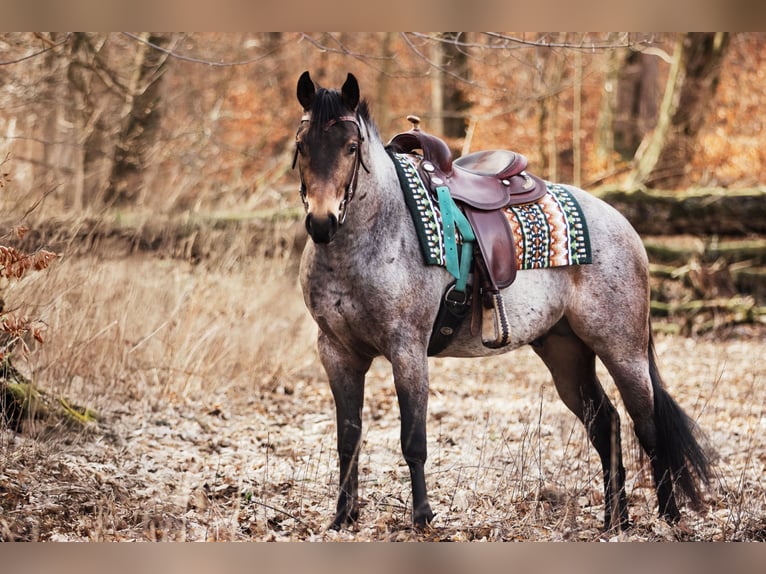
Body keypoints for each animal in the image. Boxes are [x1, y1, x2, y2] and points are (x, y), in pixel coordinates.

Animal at [292, 70, 711, 532]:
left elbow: (413, 440)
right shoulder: (338, 353)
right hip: (566, 354)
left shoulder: (408, 350)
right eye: (301, 144)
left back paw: (669, 516)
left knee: (647, 426)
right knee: (606, 426)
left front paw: (422, 518)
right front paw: (342, 517)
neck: (374, 234)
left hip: (623, 350)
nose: (322, 222)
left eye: (351, 147)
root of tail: (623, 225)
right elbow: (348, 439)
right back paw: (615, 520)